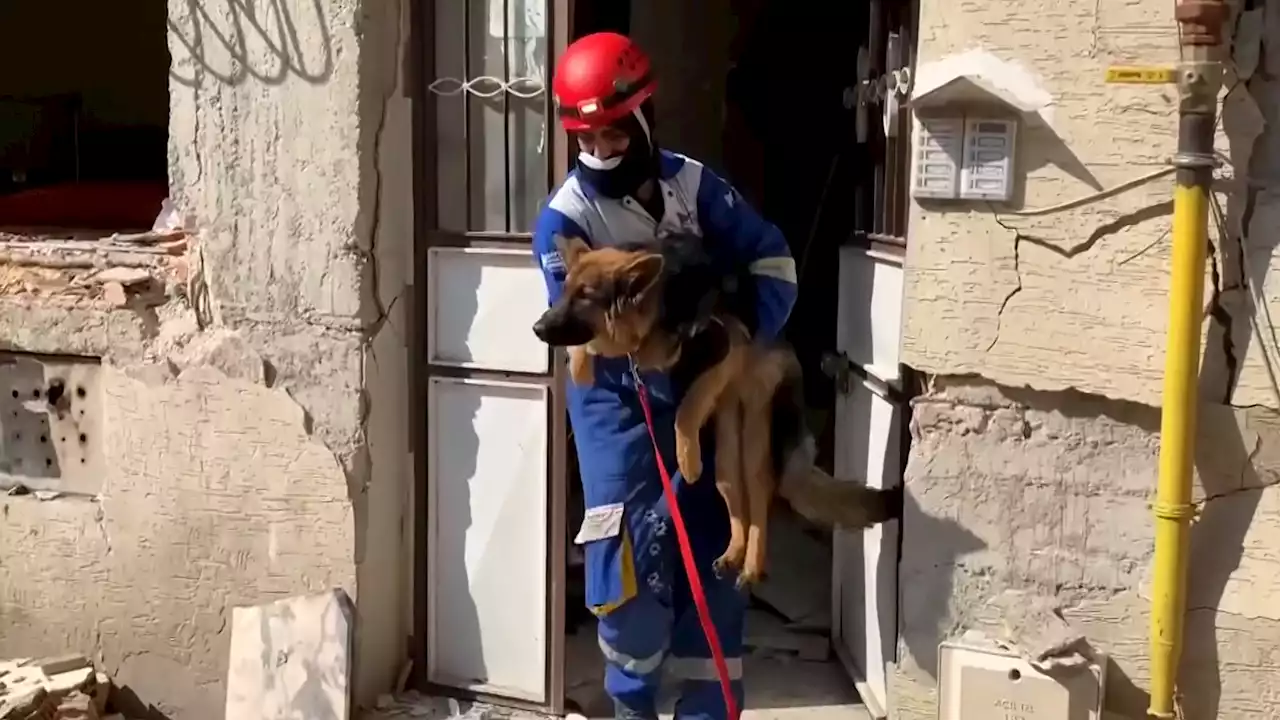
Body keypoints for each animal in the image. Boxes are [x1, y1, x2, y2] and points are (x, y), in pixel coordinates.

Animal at [532, 233, 901, 586]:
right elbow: (598, 351)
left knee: (759, 492)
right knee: (733, 490)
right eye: (564, 292)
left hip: (754, 435)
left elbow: (686, 409)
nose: (537, 328)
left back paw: (751, 565)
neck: (660, 301)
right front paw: (581, 366)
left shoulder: (725, 351)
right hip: (725, 448)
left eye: (585, 296)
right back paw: (733, 552)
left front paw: (687, 462)